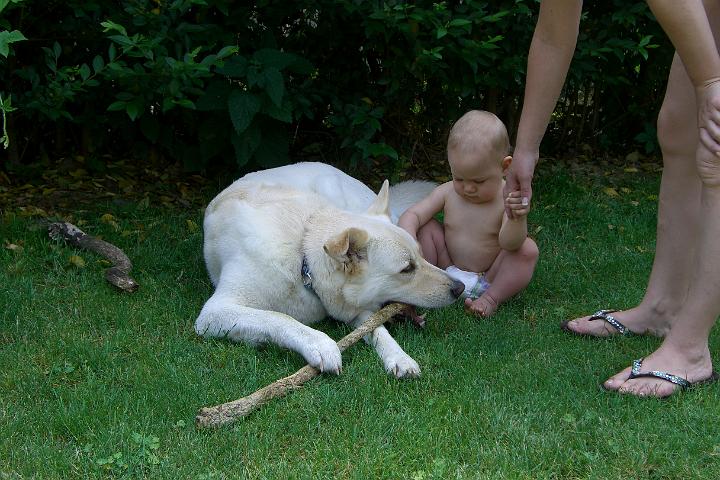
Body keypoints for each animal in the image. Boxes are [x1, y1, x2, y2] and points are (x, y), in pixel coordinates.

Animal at [194, 163, 462, 376]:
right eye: (407, 269)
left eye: (421, 256)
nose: (459, 288)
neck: (303, 262)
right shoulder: (214, 313)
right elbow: (278, 317)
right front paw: (321, 345)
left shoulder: (354, 309)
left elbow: (377, 329)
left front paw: (399, 357)